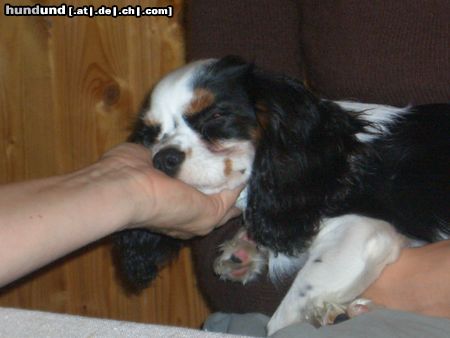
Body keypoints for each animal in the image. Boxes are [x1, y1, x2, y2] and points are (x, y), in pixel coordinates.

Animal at [114, 56, 448, 334]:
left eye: (217, 115)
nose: (163, 158)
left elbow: (281, 319)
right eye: (151, 133)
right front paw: (244, 248)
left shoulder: (364, 229)